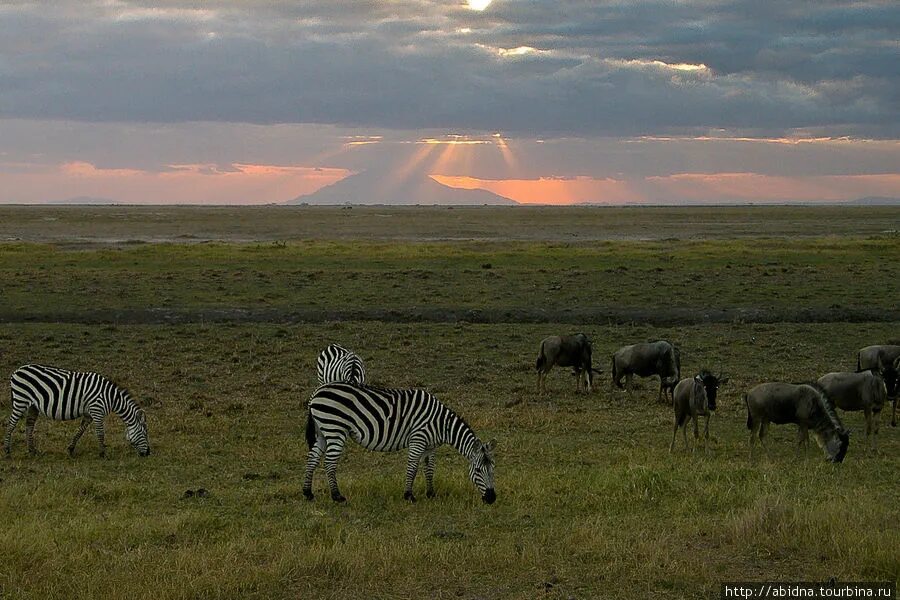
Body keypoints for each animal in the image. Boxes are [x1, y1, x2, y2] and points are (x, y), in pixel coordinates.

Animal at [5, 364, 149, 458]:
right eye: (145, 433)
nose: (148, 453)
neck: (111, 397)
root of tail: (16, 371)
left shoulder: (89, 414)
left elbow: (80, 431)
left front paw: (70, 449)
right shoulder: (97, 410)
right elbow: (100, 433)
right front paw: (103, 454)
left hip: (33, 406)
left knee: (29, 426)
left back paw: (32, 451)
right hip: (20, 400)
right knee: (11, 424)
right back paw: (7, 451)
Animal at [306, 382, 496, 504]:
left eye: (493, 469)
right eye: (477, 470)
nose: (492, 499)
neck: (441, 424)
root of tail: (316, 392)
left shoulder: (430, 446)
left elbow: (429, 469)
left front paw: (431, 493)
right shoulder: (418, 439)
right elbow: (412, 467)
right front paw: (409, 496)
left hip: (322, 432)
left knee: (312, 459)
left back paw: (308, 494)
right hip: (335, 429)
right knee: (329, 462)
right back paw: (337, 497)